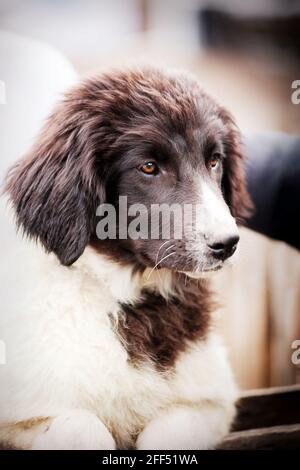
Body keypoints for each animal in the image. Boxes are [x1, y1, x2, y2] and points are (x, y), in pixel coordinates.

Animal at [0, 64, 251, 450]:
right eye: (148, 167)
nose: (227, 244)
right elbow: (83, 426)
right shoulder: (26, 414)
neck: (129, 297)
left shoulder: (208, 401)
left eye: (214, 161)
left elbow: (168, 432)